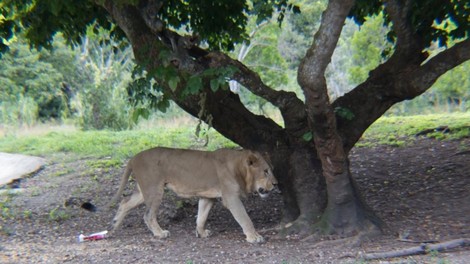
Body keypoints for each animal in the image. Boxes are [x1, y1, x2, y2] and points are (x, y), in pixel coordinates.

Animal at [109, 146, 280, 243]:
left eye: (272, 170)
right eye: (265, 171)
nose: (276, 184)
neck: (239, 169)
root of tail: (133, 158)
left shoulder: (208, 197)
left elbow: (201, 217)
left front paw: (201, 233)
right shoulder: (231, 198)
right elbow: (245, 218)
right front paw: (254, 237)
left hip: (143, 191)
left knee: (125, 202)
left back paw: (113, 226)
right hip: (154, 190)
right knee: (148, 215)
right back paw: (160, 233)